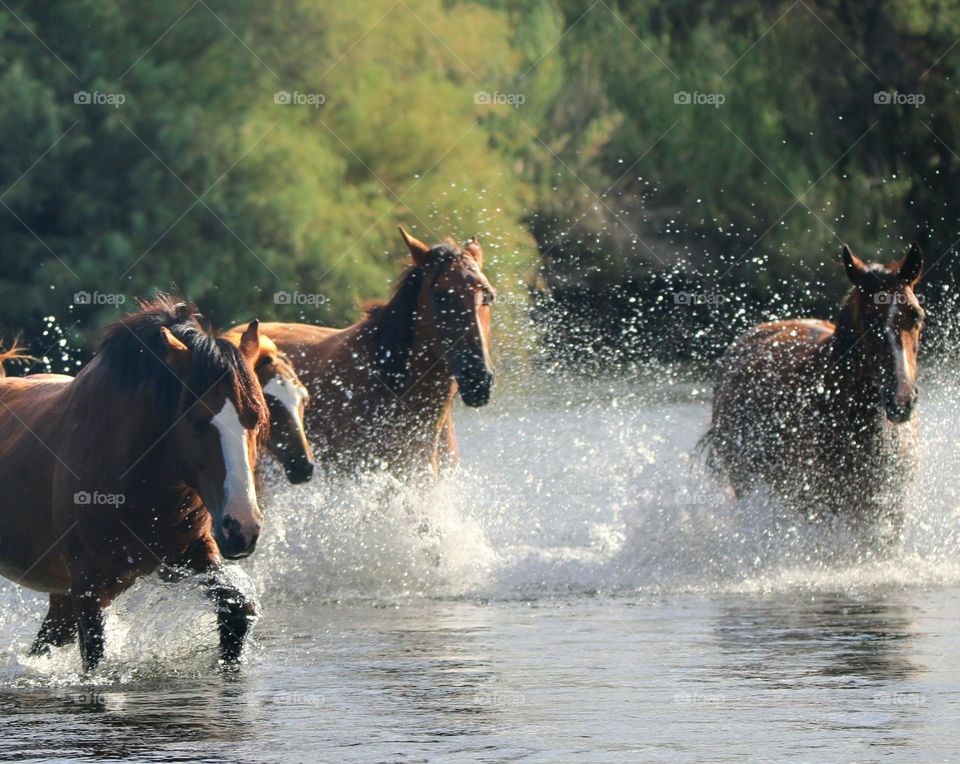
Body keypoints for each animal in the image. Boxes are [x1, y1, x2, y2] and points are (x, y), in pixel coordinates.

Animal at [0, 296, 270, 671]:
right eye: (197, 421)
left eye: (256, 418)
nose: (242, 528)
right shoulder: (88, 586)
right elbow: (95, 658)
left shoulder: (187, 554)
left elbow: (237, 607)